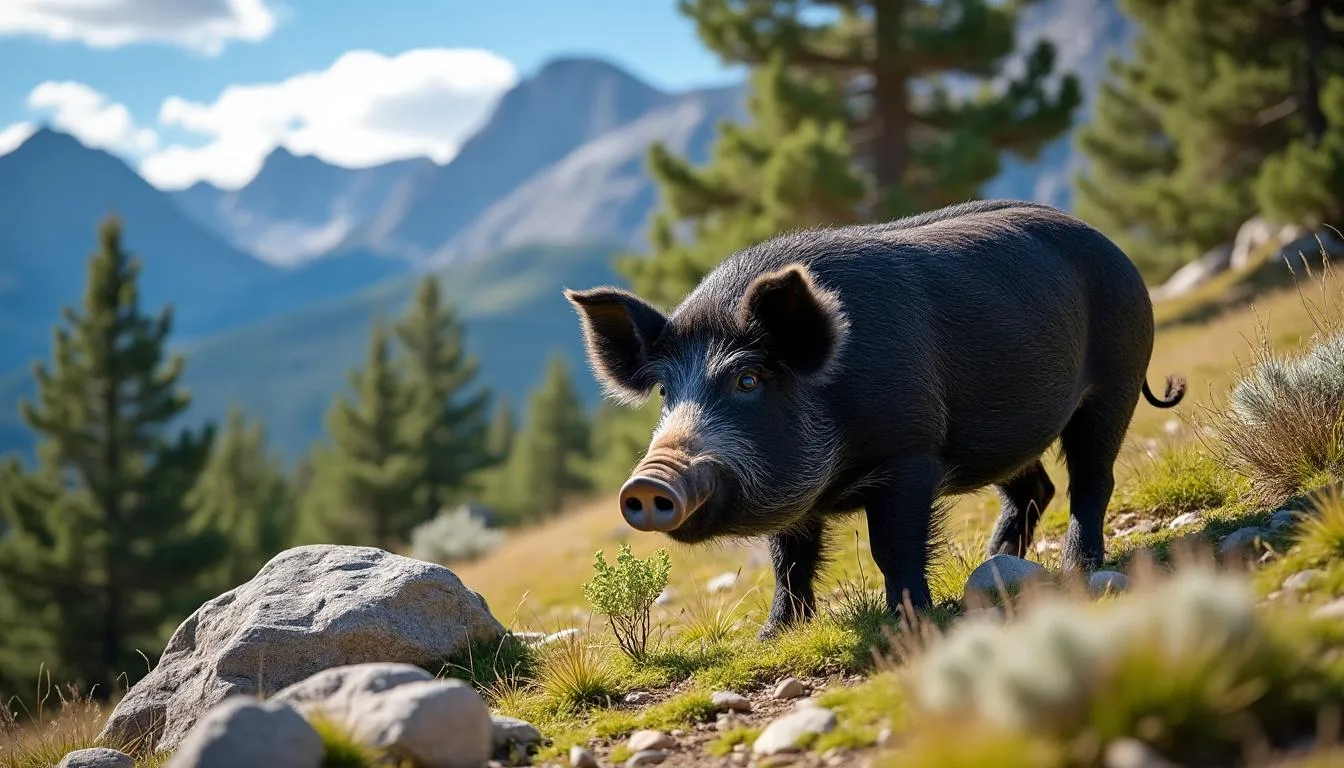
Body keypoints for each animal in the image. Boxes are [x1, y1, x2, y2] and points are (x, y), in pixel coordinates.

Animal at [564, 199, 1185, 638]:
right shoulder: (801, 497)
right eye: (666, 391)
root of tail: (1114, 249)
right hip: (1006, 435)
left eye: (748, 381)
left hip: (1117, 378)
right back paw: (995, 564)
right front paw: (773, 635)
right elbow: (788, 560)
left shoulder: (912, 451)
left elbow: (894, 546)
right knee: (1034, 488)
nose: (648, 483)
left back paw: (1078, 567)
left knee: (1091, 478)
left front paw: (908, 622)